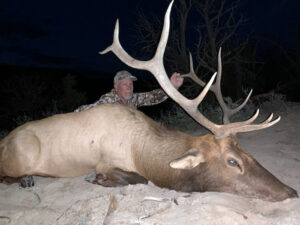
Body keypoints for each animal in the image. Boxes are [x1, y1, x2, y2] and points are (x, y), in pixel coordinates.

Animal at [0, 0, 298, 200]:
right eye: (232, 162)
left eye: (248, 154)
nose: (290, 191)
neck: (141, 151)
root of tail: (3, 141)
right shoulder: (108, 162)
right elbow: (138, 180)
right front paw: (97, 179)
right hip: (18, 157)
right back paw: (27, 179)